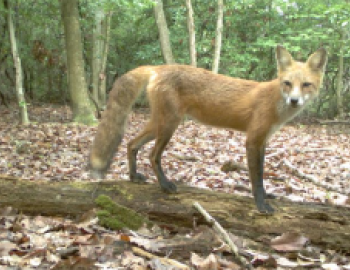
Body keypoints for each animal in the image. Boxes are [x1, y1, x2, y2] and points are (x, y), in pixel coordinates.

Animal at [89, 44, 328, 213]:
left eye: (306, 85)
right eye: (287, 83)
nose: (294, 101)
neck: (275, 102)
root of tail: (159, 67)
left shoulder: (263, 141)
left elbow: (261, 175)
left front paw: (267, 196)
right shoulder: (253, 139)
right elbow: (256, 178)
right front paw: (261, 205)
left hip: (159, 123)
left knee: (131, 143)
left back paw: (133, 176)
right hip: (169, 125)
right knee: (152, 155)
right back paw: (165, 185)